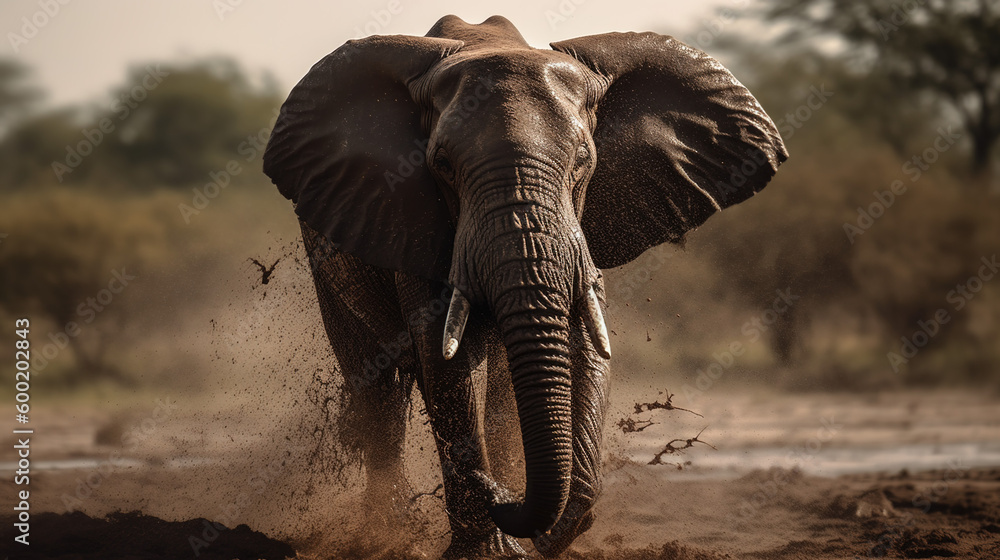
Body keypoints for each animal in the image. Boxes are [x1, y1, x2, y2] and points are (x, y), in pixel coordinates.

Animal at [263, 15, 787, 559]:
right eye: (441, 165)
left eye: (583, 160)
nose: (499, 493)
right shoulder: (414, 216)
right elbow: (443, 359)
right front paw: (490, 549)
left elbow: (582, 342)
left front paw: (553, 526)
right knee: (378, 390)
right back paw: (387, 536)